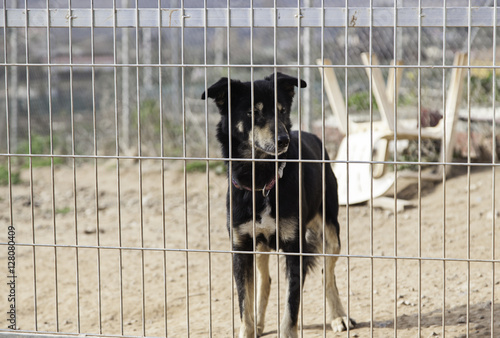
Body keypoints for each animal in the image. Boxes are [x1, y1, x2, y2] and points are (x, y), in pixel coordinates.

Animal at [201, 72, 354, 336]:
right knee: (265, 281)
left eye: (282, 111)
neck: (260, 181)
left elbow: (291, 307)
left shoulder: (295, 249)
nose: (283, 140)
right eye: (253, 112)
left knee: (328, 275)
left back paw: (338, 316)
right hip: (261, 245)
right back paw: (260, 323)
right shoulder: (241, 248)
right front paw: (250, 327)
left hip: (330, 230)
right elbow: (245, 306)